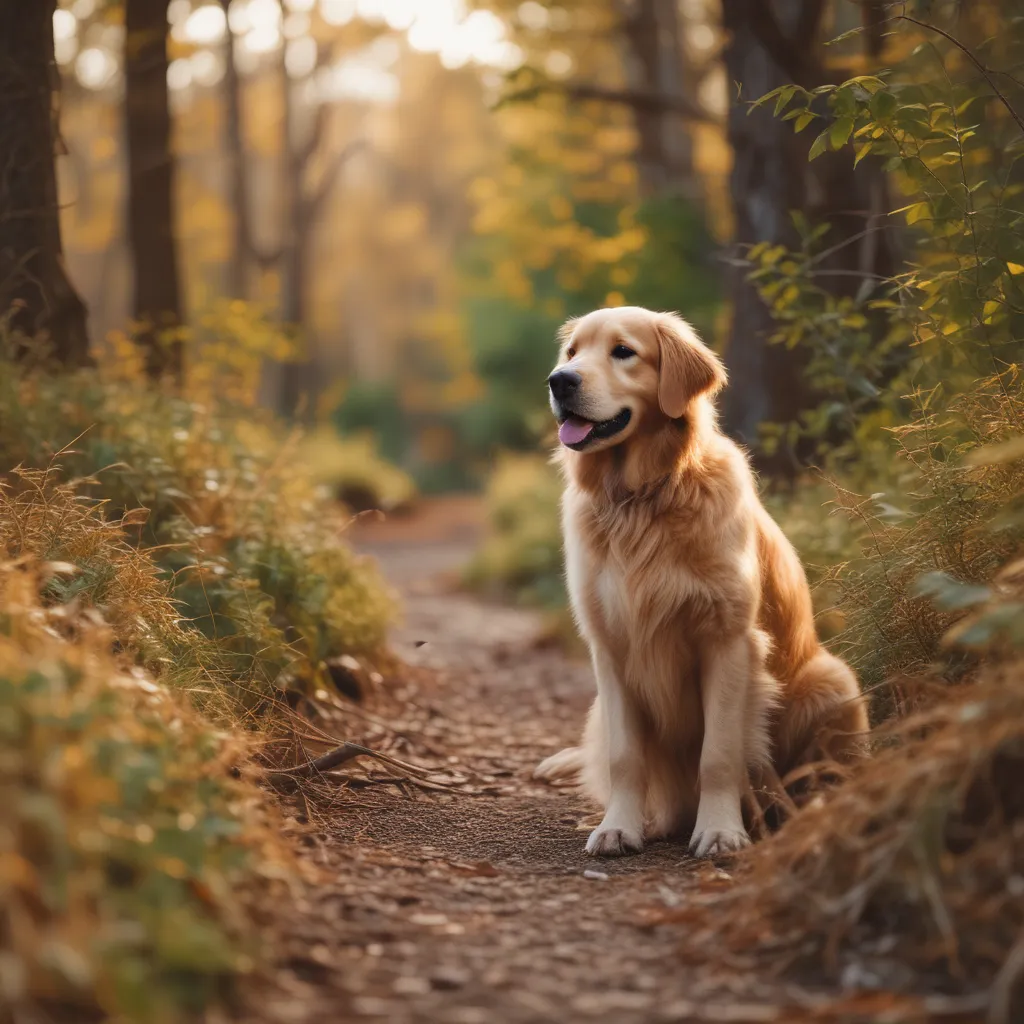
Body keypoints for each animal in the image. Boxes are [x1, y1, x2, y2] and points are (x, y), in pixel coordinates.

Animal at [532, 307, 868, 860]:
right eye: (572, 352)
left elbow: (720, 754)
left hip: (833, 682)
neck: (643, 497)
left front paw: (720, 830)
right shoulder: (611, 649)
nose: (559, 380)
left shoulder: (727, 642)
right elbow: (625, 757)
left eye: (623, 351)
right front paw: (618, 827)